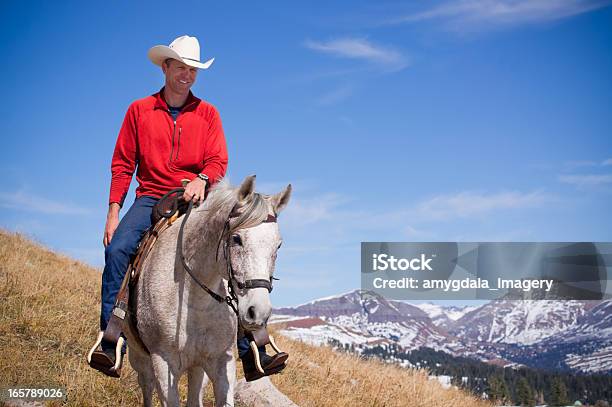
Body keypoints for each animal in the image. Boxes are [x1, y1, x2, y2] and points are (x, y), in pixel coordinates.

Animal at [124, 176, 292, 407]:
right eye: (236, 238)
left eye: (278, 245)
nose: (258, 312)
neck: (195, 300)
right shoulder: (163, 364)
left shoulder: (222, 362)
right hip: (139, 356)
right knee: (146, 385)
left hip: (197, 367)